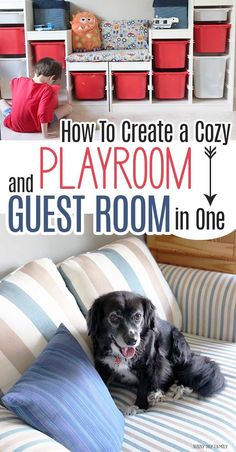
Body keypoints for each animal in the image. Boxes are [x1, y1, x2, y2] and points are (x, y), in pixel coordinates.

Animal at [87, 292, 225, 414]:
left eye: (138, 316)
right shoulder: (102, 365)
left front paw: (139, 406)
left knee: (179, 374)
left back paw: (173, 390)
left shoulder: (150, 364)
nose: (132, 340)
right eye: (114, 317)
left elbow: (143, 387)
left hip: (177, 348)